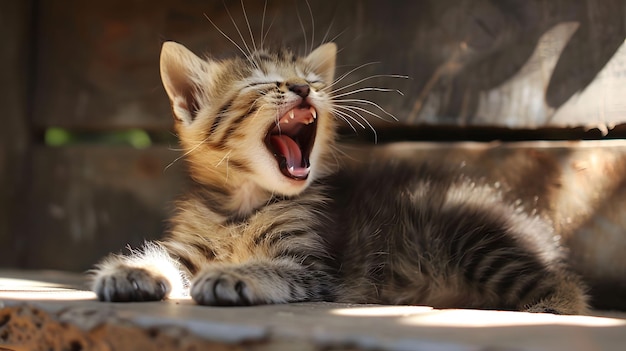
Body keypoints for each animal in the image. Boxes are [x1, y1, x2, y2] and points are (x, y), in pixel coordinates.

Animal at [90, 40, 588, 314]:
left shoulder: (312, 266)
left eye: (310, 77)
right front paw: (133, 270)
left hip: (469, 237)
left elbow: (274, 268)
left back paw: (555, 304)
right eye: (261, 82)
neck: (243, 206)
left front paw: (236, 275)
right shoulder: (190, 246)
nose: (303, 88)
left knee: (567, 284)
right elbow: (168, 259)